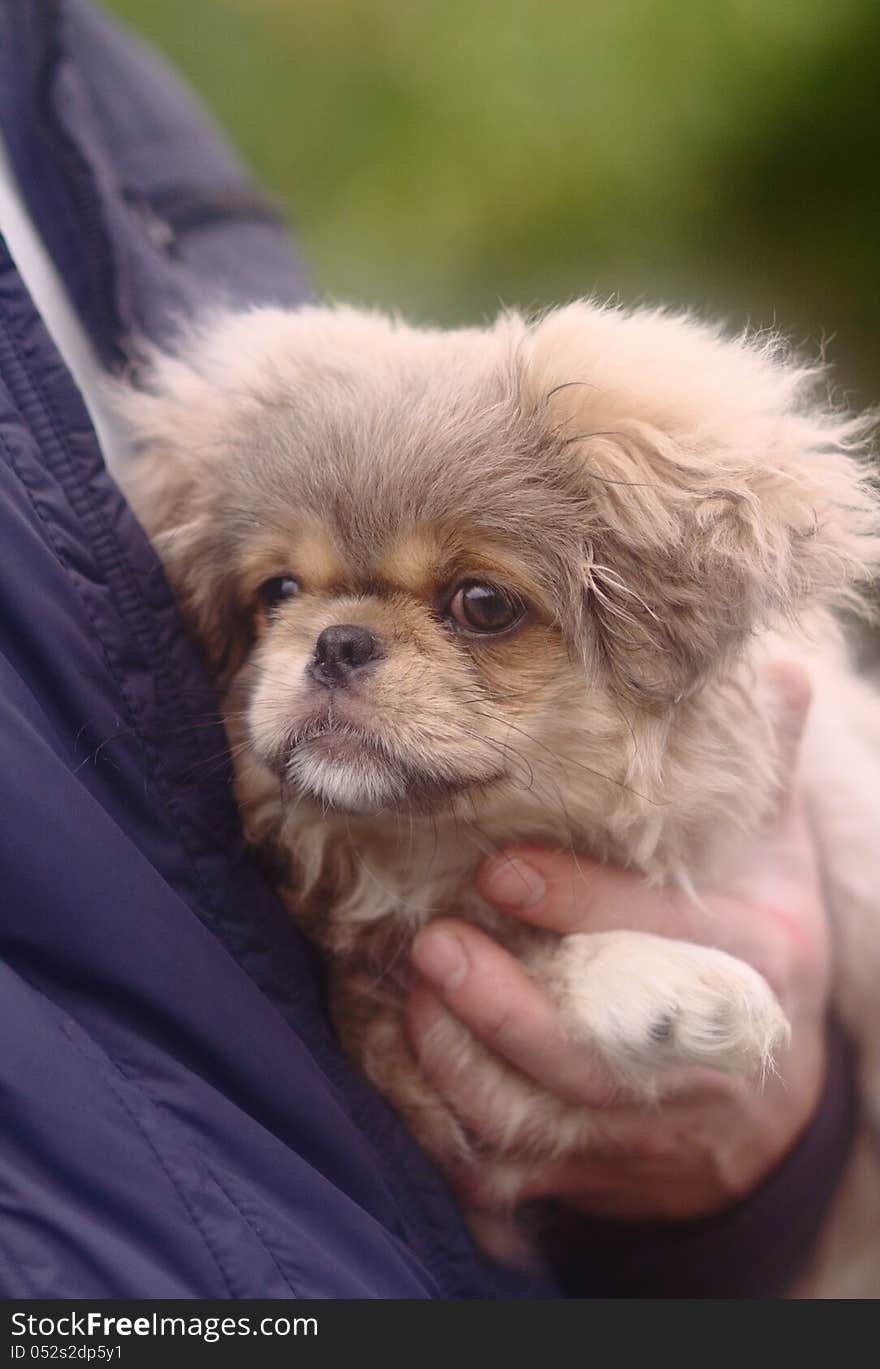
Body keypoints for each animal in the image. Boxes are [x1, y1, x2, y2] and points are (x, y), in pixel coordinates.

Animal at [113, 302, 880, 1292]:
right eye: (277, 591)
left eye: (482, 604)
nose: (337, 639)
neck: (445, 844)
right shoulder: (421, 1053)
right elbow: (546, 960)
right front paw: (676, 987)